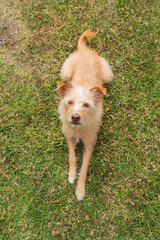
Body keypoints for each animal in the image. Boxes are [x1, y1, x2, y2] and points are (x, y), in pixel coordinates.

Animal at [57, 29, 113, 201]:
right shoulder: (69, 136)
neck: (79, 129)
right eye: (69, 102)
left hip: (107, 75)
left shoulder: (90, 144)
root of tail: (84, 50)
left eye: (86, 105)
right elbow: (72, 157)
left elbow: (84, 168)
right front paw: (71, 175)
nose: (75, 117)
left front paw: (80, 190)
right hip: (66, 73)